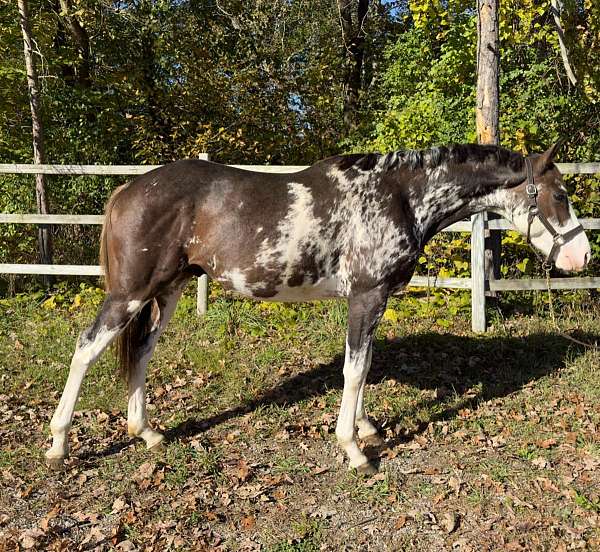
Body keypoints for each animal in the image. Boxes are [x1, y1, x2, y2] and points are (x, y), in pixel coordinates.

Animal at [47, 142, 592, 474]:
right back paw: (58, 444)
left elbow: (364, 363)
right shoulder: (367, 295)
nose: (582, 257)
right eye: (560, 194)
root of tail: (129, 188)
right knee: (85, 349)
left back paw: (148, 433)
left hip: (167, 292)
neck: (400, 196)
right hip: (130, 293)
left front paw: (366, 428)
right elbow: (355, 369)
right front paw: (354, 450)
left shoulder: (368, 300)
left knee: (139, 353)